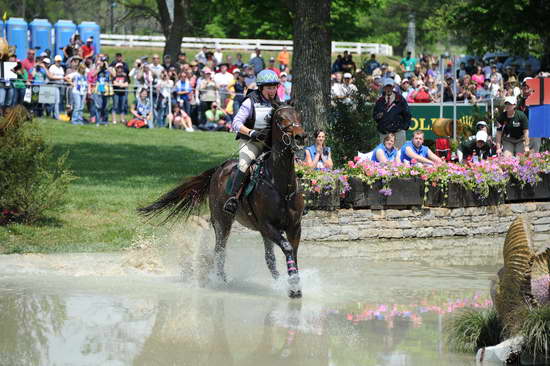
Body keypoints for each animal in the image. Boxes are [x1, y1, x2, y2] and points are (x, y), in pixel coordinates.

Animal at [138, 103, 308, 298]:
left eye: (298, 116)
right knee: (220, 251)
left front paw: (294, 284)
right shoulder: (267, 226)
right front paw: (293, 286)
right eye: (280, 119)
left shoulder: (294, 226)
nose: (300, 136)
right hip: (222, 221)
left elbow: (293, 251)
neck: (279, 184)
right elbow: (287, 248)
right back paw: (221, 281)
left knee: (268, 258)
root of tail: (218, 169)